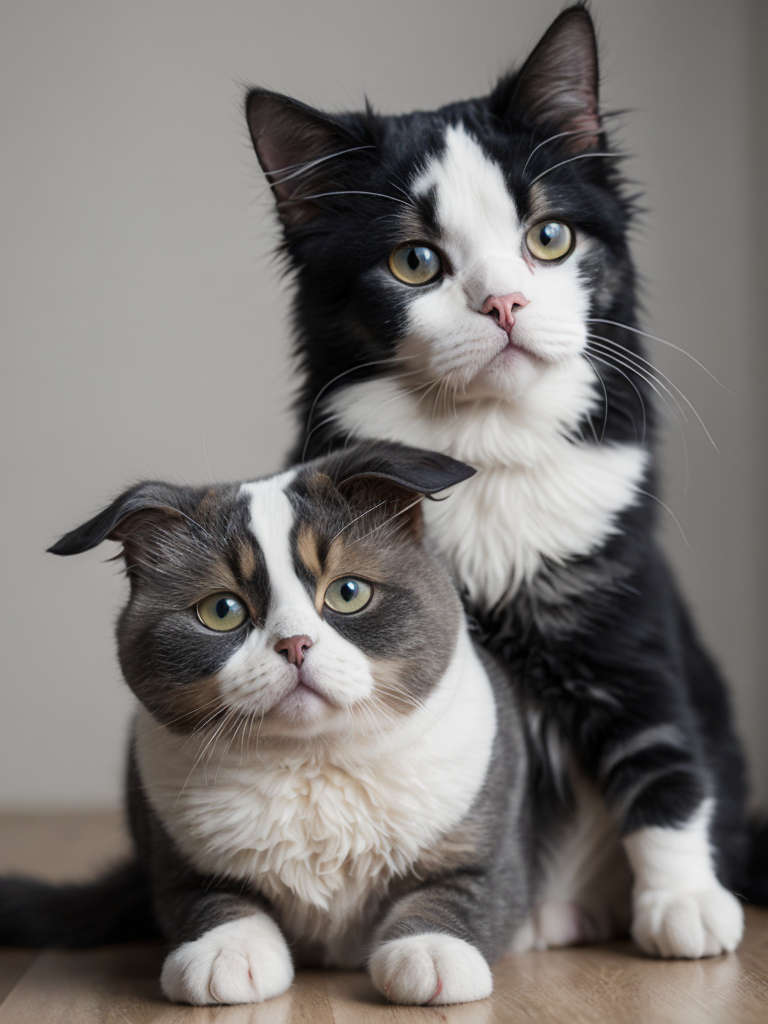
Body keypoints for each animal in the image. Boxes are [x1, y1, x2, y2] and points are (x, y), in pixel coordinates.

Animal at [0, 442, 540, 1007]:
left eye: (348, 592)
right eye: (221, 610)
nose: (295, 644)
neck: (312, 764)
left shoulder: (491, 849)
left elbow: (460, 891)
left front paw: (430, 951)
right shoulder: (177, 861)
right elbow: (211, 900)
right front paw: (226, 953)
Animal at [244, 4, 765, 954]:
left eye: (548, 238)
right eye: (415, 262)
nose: (504, 304)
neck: (484, 447)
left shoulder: (625, 621)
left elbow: (663, 758)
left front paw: (682, 903)